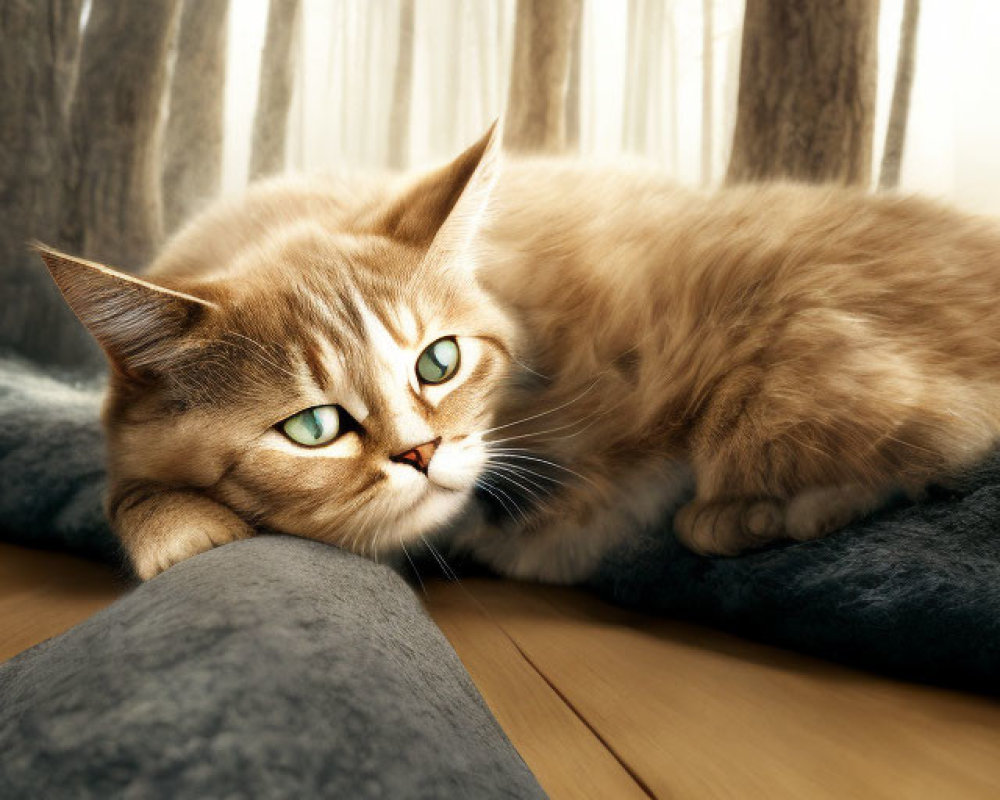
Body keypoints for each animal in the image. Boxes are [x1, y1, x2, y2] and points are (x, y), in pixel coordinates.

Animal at [37, 123, 1000, 580]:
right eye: (313, 427)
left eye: (438, 362)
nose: (422, 453)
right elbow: (132, 488)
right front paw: (181, 527)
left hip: (783, 366)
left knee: (924, 434)